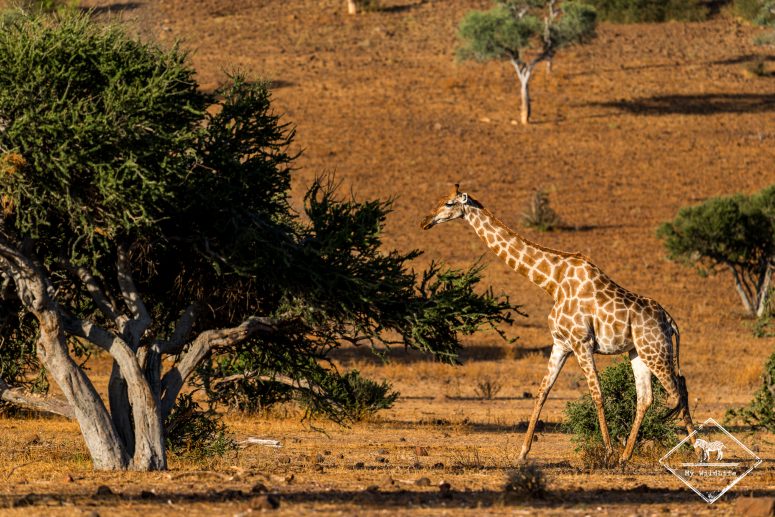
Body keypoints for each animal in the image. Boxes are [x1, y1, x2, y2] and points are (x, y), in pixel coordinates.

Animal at [420, 185, 695, 462]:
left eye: (448, 203)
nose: (425, 221)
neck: (552, 282)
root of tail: (670, 321)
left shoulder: (581, 342)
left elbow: (597, 393)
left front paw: (607, 451)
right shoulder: (561, 343)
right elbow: (543, 391)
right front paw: (522, 453)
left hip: (655, 351)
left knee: (677, 392)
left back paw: (692, 452)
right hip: (638, 352)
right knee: (647, 398)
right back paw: (627, 456)